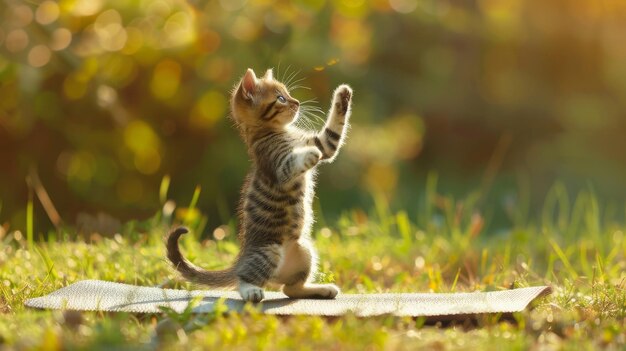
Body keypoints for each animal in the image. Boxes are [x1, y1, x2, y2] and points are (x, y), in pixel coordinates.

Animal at [166, 68, 352, 302]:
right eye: (281, 98)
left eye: (288, 94)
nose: (297, 102)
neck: (275, 131)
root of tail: (241, 259)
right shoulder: (277, 166)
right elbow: (293, 162)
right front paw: (310, 154)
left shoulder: (324, 143)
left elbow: (331, 138)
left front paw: (343, 95)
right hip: (268, 251)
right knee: (244, 280)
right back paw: (251, 290)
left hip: (304, 250)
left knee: (289, 289)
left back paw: (320, 289)